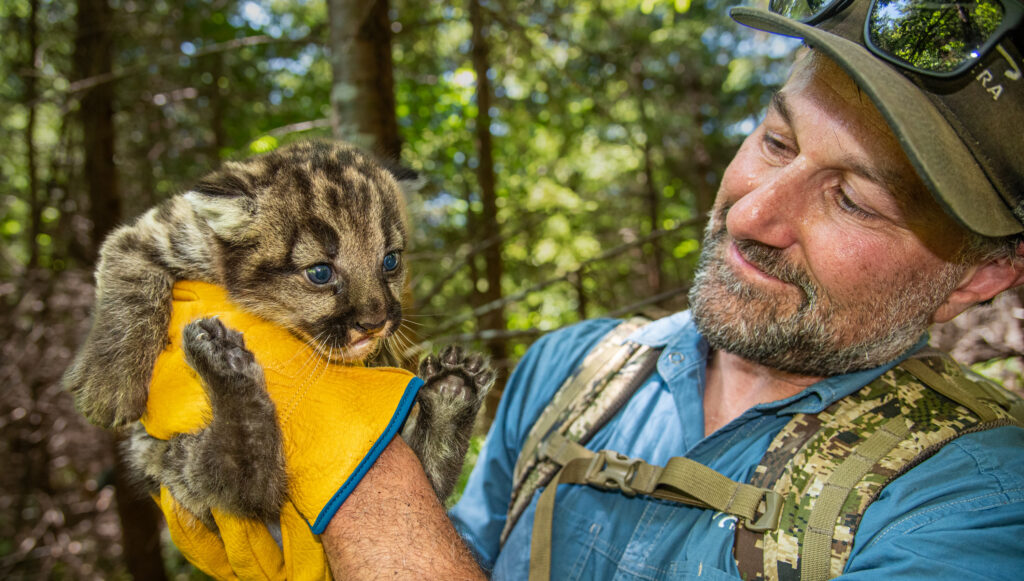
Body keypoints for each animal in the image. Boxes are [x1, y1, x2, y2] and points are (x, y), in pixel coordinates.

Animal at [64, 141, 495, 528]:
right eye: (320, 272)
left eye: (390, 261)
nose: (375, 322)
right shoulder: (155, 231)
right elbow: (129, 277)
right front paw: (108, 386)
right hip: (154, 451)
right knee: (230, 481)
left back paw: (453, 392)